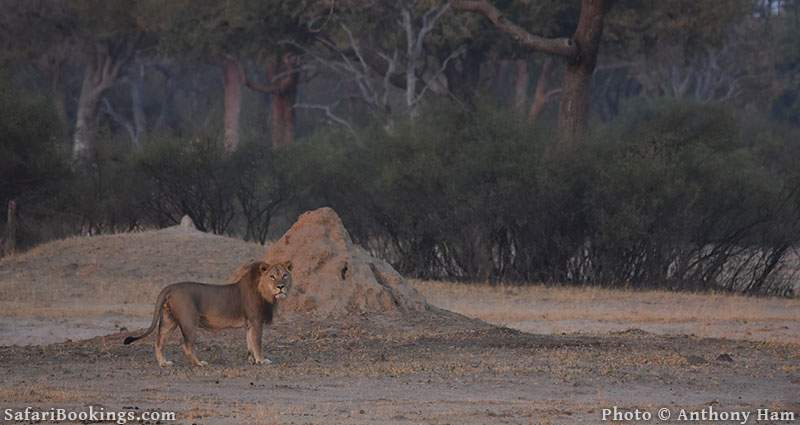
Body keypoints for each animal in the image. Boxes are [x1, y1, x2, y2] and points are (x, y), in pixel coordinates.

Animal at [122, 260, 290, 366]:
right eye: (272, 276)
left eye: (285, 275)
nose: (281, 287)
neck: (265, 292)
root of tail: (169, 287)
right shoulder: (256, 321)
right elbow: (257, 342)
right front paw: (262, 361)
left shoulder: (250, 324)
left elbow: (250, 342)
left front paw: (252, 361)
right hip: (189, 321)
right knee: (186, 345)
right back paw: (199, 363)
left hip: (168, 321)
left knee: (159, 342)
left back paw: (163, 363)